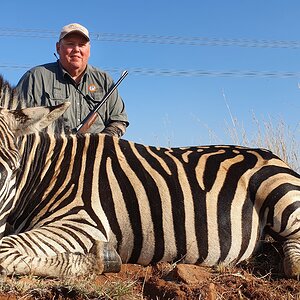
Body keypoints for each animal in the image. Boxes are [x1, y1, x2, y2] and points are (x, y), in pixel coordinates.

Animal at [0, 80, 298, 278]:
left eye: (8, 171)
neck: (48, 171)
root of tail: (270, 154)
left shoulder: (82, 221)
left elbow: (4, 250)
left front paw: (99, 260)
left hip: (280, 193)